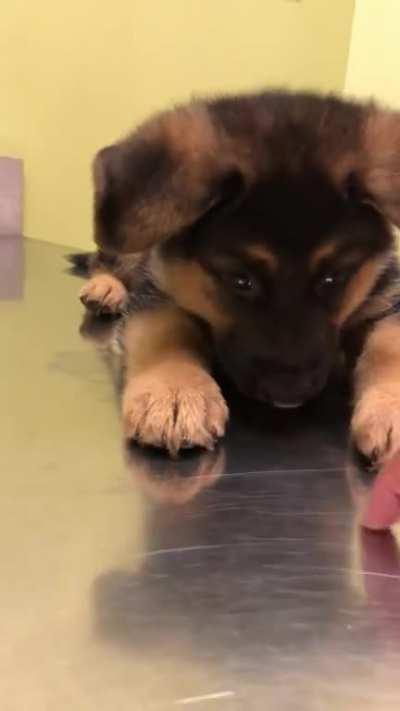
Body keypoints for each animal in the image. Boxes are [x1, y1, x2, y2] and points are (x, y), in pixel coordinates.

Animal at [77, 90, 400, 456]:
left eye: (333, 279)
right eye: (241, 281)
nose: (288, 395)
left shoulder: (385, 293)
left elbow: (390, 345)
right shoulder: (157, 286)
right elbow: (165, 332)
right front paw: (174, 391)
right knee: (104, 262)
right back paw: (106, 288)